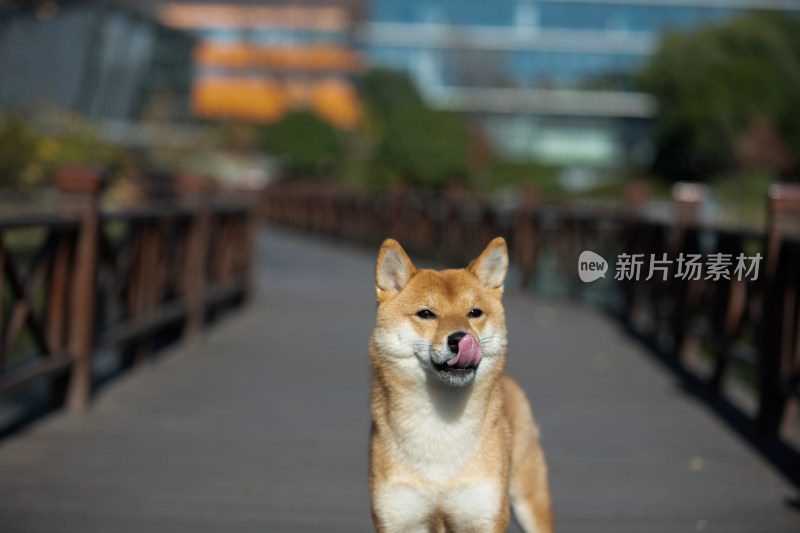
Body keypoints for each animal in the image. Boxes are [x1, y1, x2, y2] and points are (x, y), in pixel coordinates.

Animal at [368, 238, 552, 532]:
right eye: (426, 313)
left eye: (474, 313)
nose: (460, 339)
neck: (441, 426)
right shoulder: (398, 518)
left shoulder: (484, 516)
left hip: (530, 498)